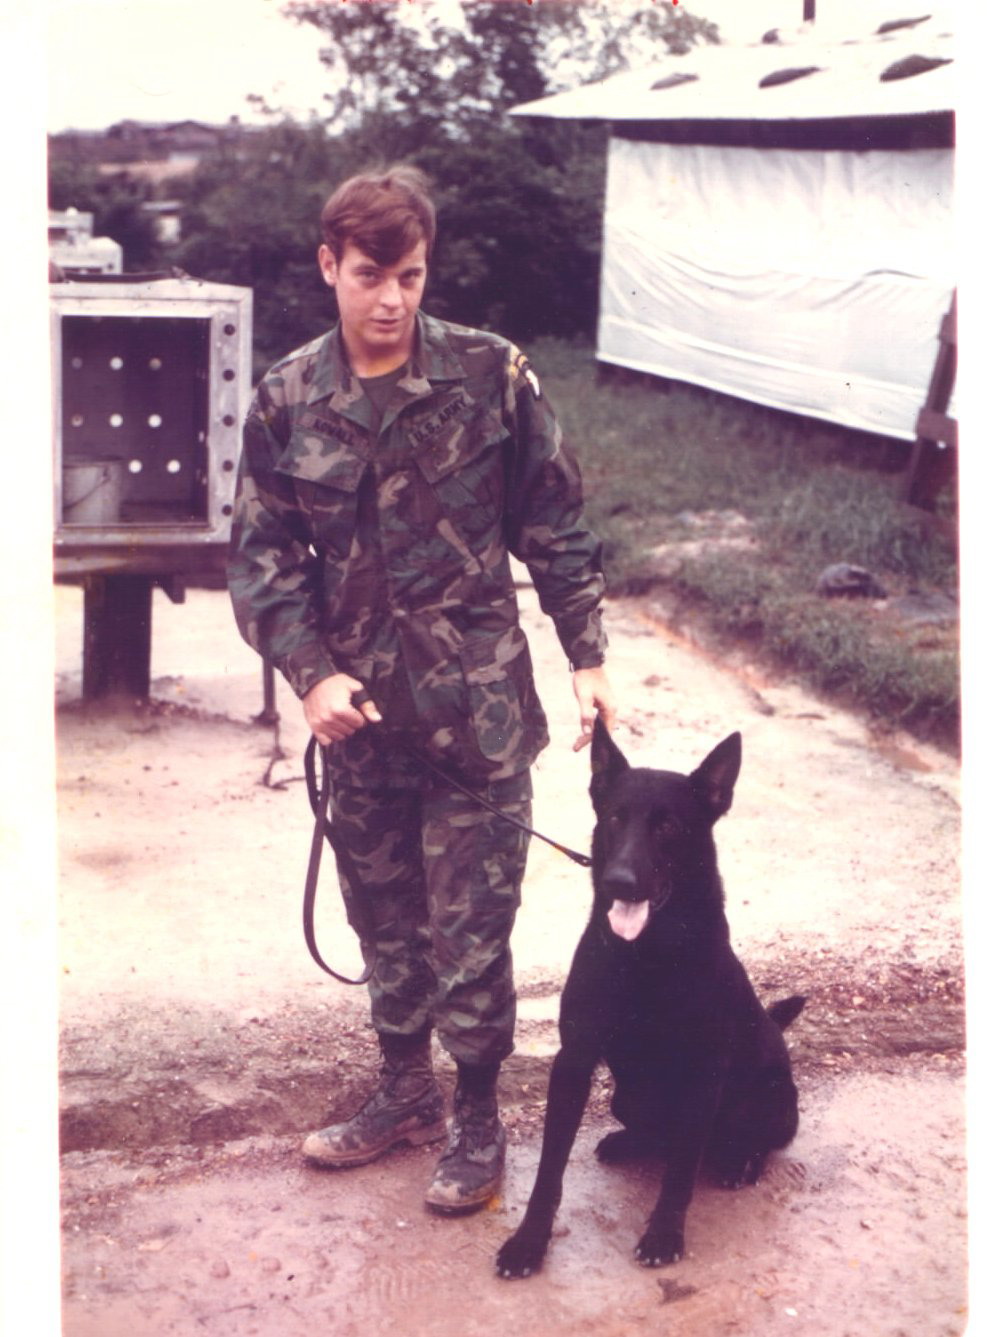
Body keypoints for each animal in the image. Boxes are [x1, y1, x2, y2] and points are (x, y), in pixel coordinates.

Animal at [496, 722, 805, 1278]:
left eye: (669, 828)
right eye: (615, 818)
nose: (619, 881)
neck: (647, 956)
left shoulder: (703, 1073)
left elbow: (680, 1172)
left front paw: (664, 1234)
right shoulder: (573, 1062)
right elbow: (549, 1170)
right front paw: (529, 1241)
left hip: (766, 1101)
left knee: (747, 1142)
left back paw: (739, 1161)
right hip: (627, 1096)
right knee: (657, 1136)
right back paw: (628, 1142)